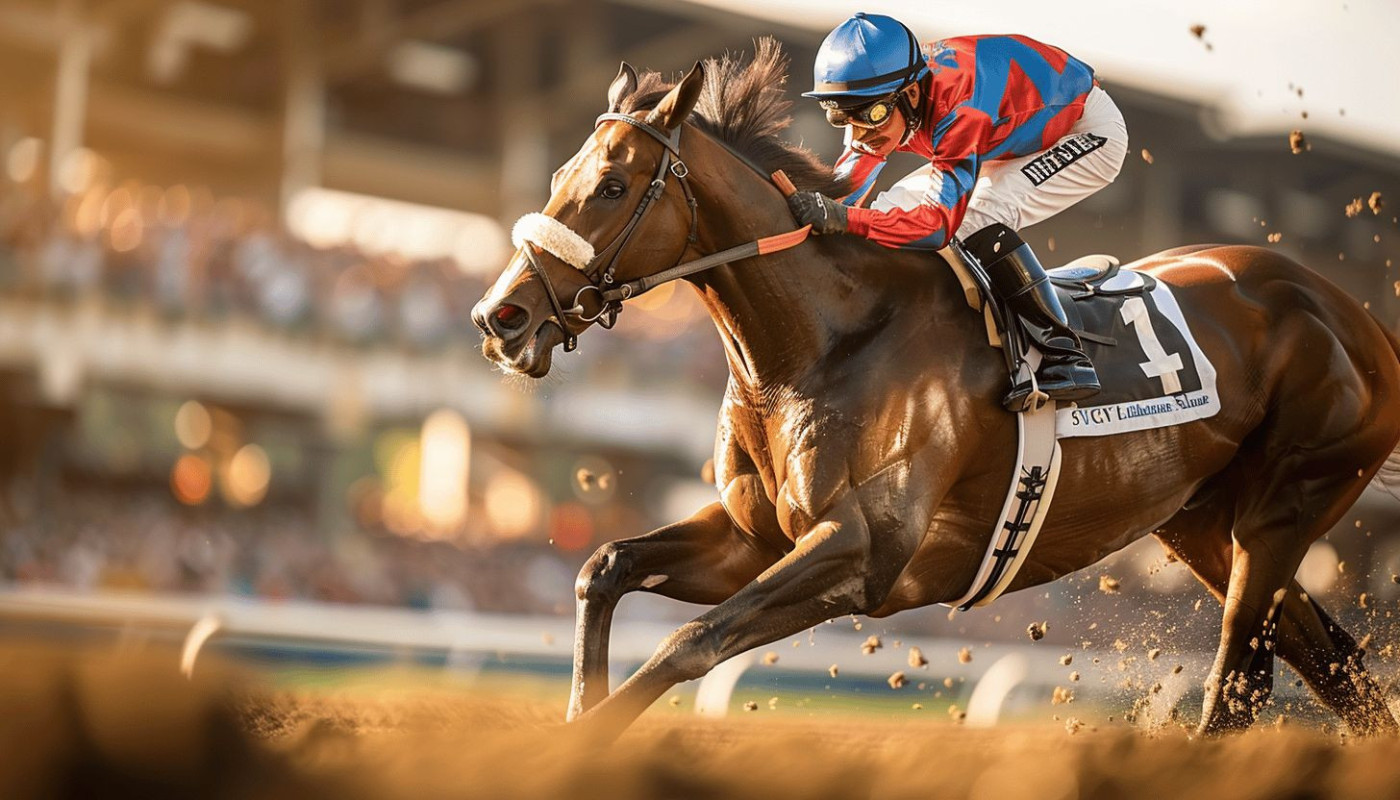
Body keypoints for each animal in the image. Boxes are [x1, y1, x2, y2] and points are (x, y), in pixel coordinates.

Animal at [471, 40, 1400, 740]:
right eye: (557, 176)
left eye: (612, 186)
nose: (499, 316)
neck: (822, 340)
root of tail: (1354, 315)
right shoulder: (754, 537)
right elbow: (602, 568)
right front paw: (575, 713)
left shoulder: (858, 553)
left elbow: (691, 642)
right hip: (1201, 522)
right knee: (1337, 668)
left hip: (1287, 504)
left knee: (1241, 687)